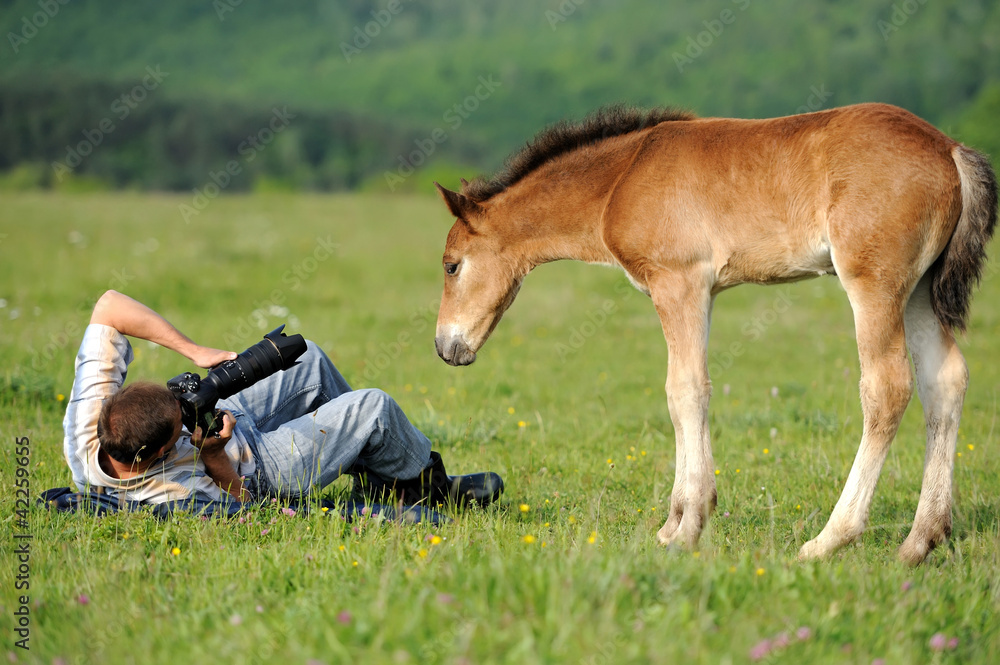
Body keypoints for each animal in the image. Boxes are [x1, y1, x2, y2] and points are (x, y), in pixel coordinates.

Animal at [434, 104, 996, 564]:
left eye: (451, 265)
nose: (445, 347)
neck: (623, 176)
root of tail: (949, 149)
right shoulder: (701, 291)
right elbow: (687, 392)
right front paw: (671, 526)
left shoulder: (677, 281)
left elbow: (684, 391)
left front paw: (686, 529)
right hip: (918, 290)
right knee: (946, 381)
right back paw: (920, 542)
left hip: (873, 282)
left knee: (887, 388)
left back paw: (829, 539)